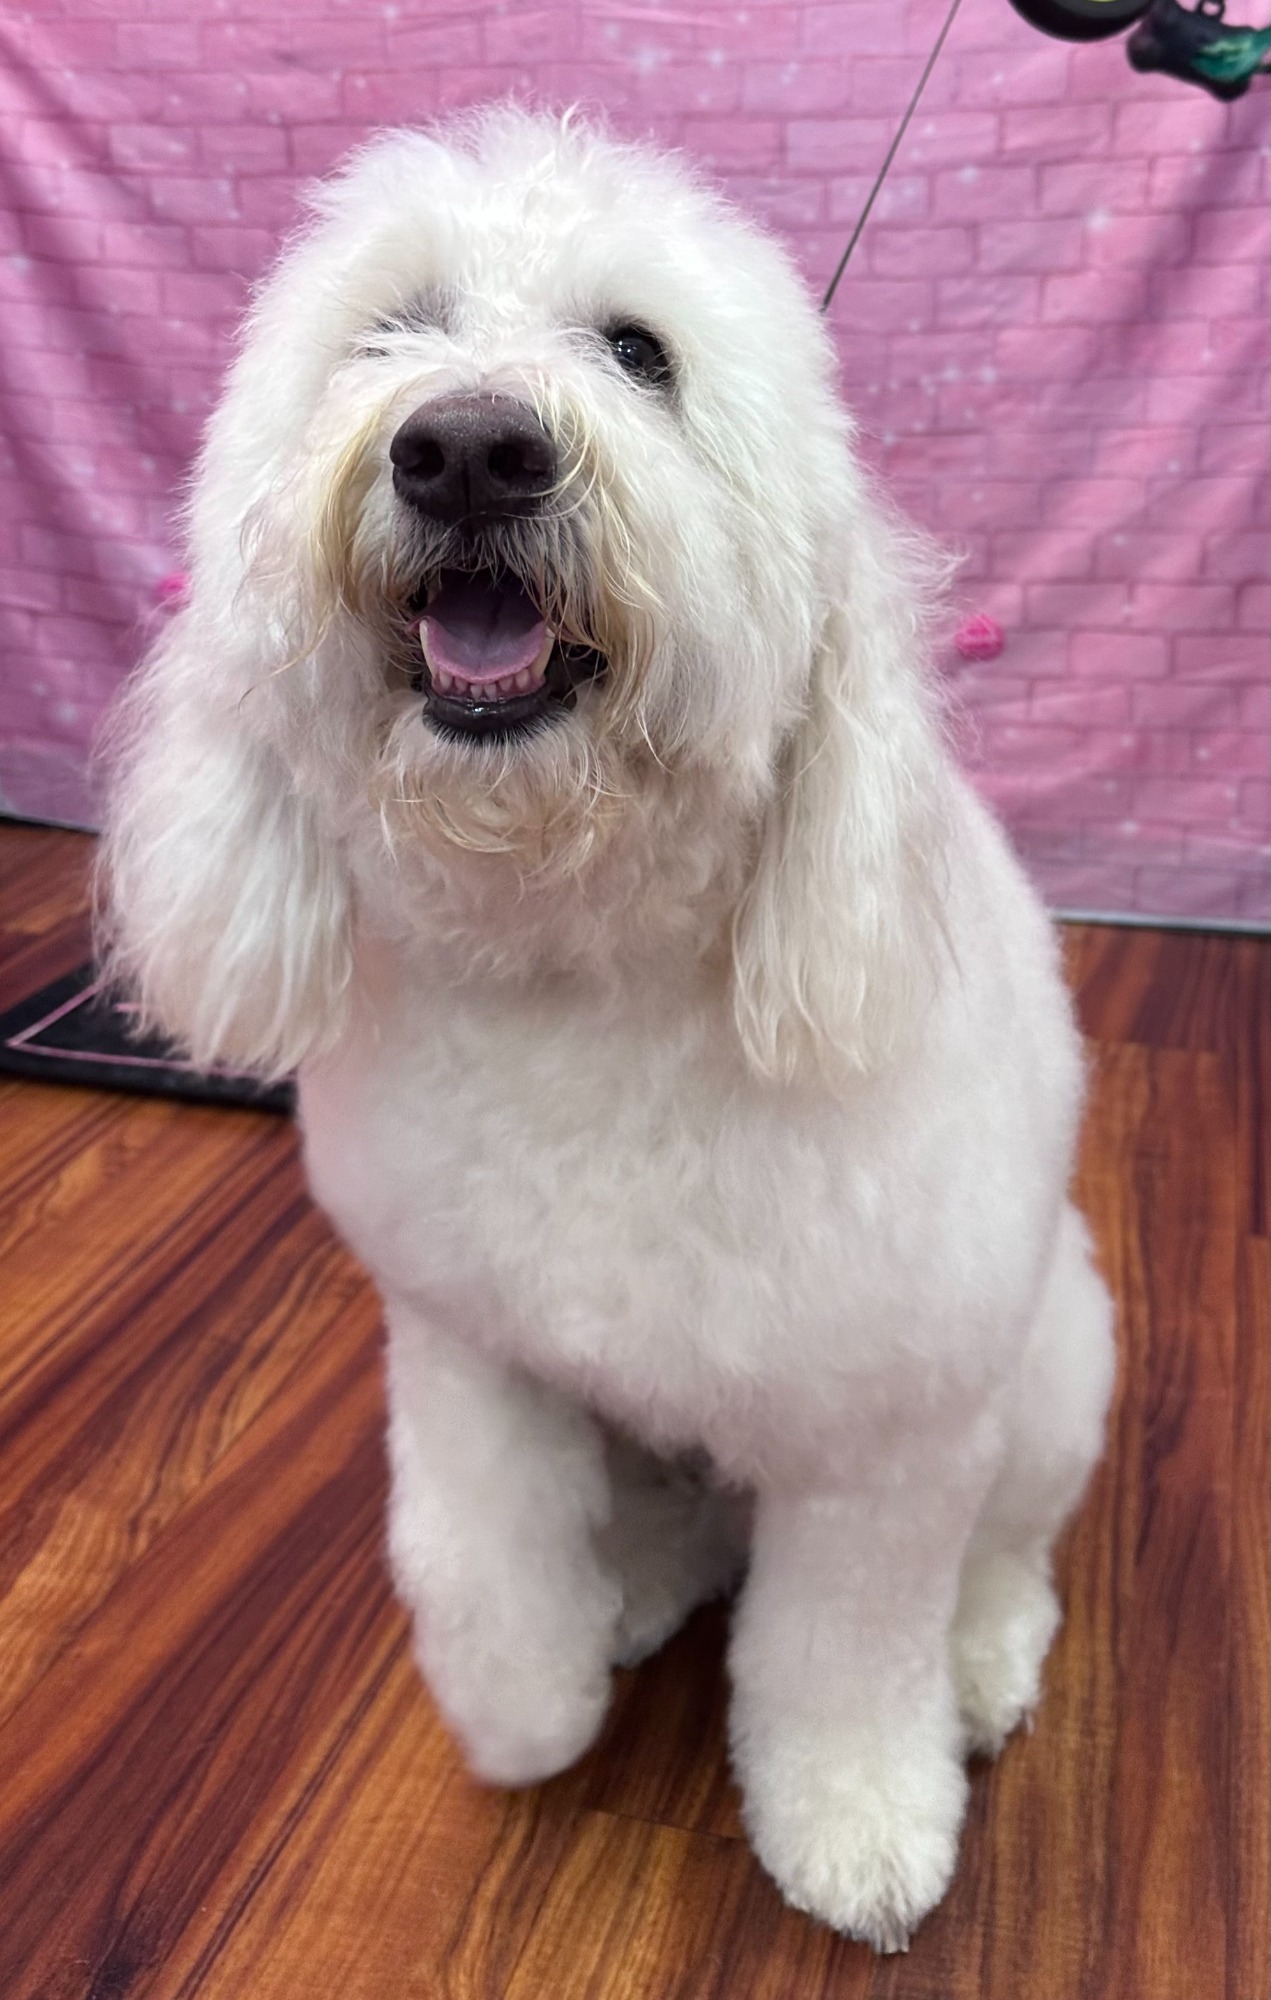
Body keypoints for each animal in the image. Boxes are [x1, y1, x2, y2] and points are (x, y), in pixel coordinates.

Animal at [101, 107, 1115, 1952]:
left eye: (640, 355)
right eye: (391, 330)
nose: (467, 451)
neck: (574, 969)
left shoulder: (880, 1442)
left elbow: (841, 1657)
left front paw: (858, 1827)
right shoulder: (468, 1350)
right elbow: (475, 1552)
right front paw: (525, 1711)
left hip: (1048, 1368)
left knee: (1004, 1551)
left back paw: (983, 1658)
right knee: (673, 1528)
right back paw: (634, 1585)